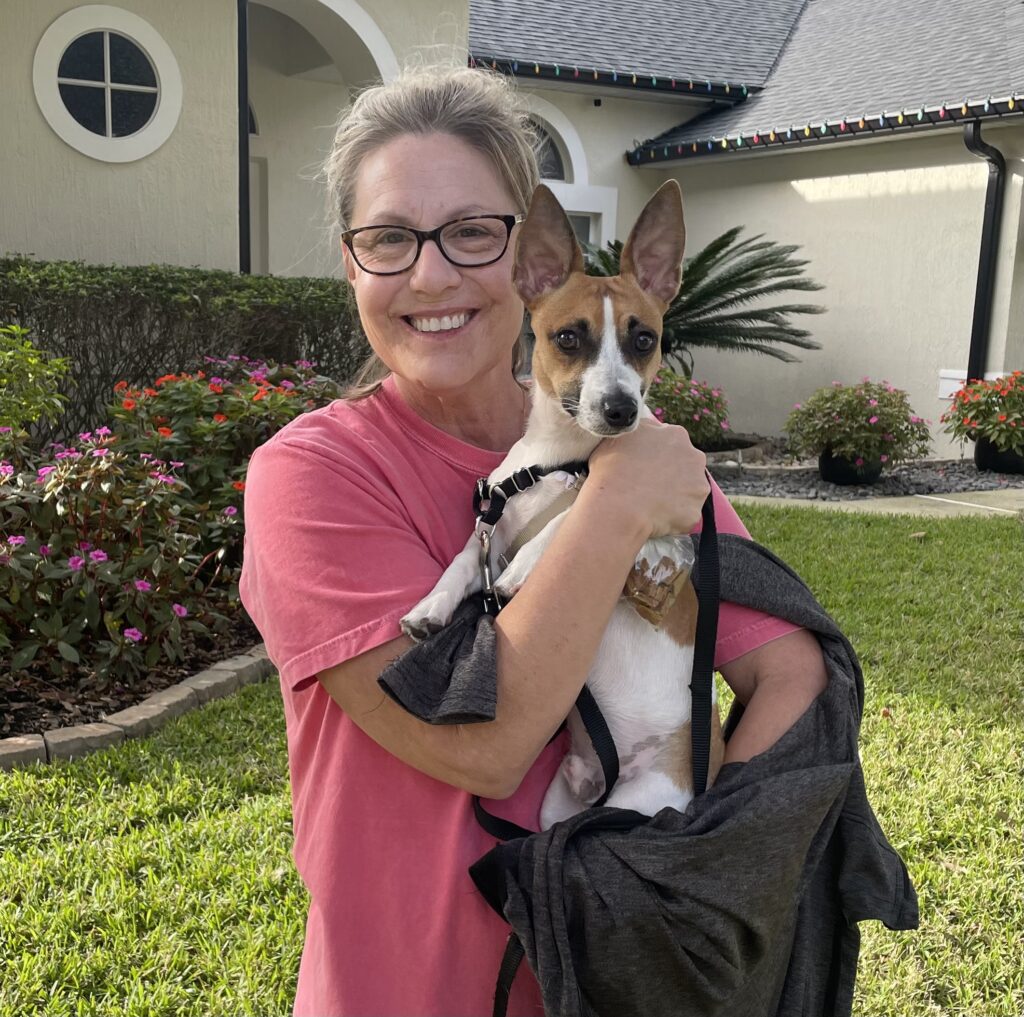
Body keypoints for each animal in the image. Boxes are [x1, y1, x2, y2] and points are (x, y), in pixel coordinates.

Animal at [395, 182, 724, 827]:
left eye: (644, 339)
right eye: (568, 337)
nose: (620, 408)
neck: (560, 458)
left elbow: (569, 520)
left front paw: (523, 572)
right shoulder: (492, 526)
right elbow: (463, 560)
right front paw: (433, 606)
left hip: (640, 801)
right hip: (556, 807)